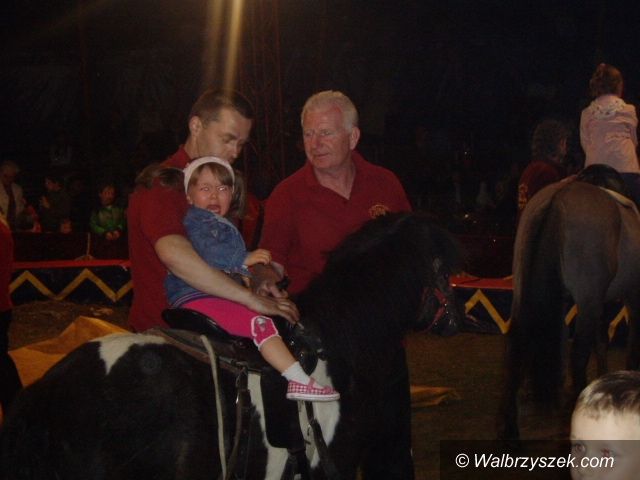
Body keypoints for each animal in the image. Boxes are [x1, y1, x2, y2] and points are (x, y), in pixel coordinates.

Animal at [499, 170, 640, 440]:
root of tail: (557, 198)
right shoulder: (622, 296)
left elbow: (600, 341)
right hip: (588, 299)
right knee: (578, 356)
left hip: (528, 294)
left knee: (518, 346)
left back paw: (512, 430)